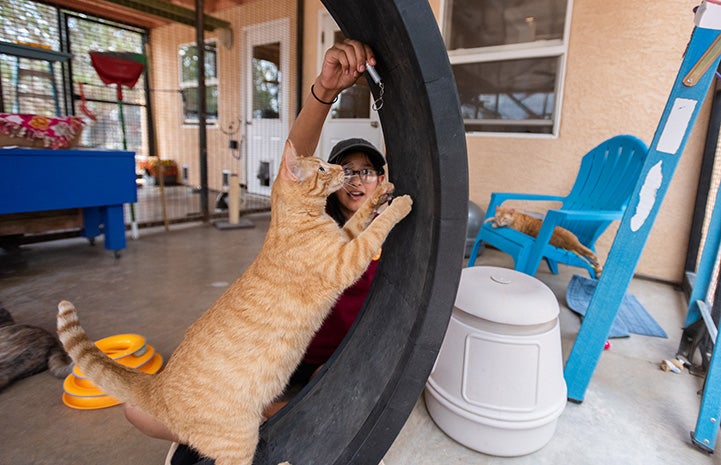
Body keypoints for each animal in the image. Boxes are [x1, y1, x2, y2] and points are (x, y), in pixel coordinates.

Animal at [57, 40, 410, 464]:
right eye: (324, 168)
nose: (344, 171)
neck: (296, 219)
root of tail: (158, 388)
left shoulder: (344, 238)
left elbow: (361, 218)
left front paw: (381, 192)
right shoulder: (346, 259)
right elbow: (375, 230)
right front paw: (399, 205)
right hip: (238, 442)